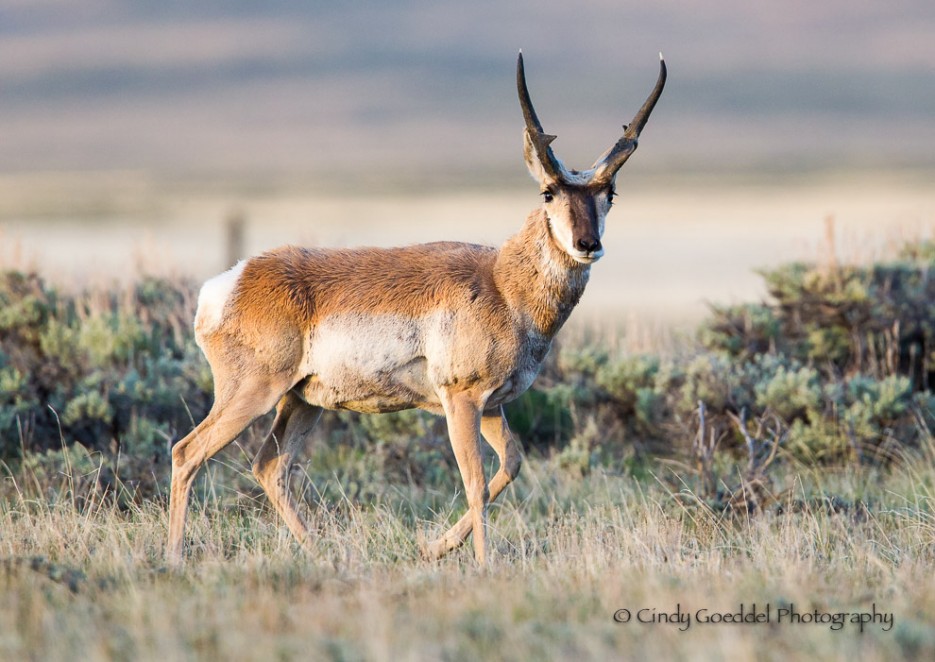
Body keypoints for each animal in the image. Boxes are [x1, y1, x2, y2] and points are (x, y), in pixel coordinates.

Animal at [168, 53, 664, 564]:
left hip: (301, 401)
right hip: (255, 392)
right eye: (548, 192)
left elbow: (511, 463)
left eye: (609, 194)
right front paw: (483, 563)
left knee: (269, 466)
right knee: (188, 452)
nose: (588, 244)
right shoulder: (461, 399)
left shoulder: (491, 405)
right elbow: (476, 482)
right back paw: (175, 556)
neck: (501, 283)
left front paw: (433, 547)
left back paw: (325, 552)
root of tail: (231, 282)